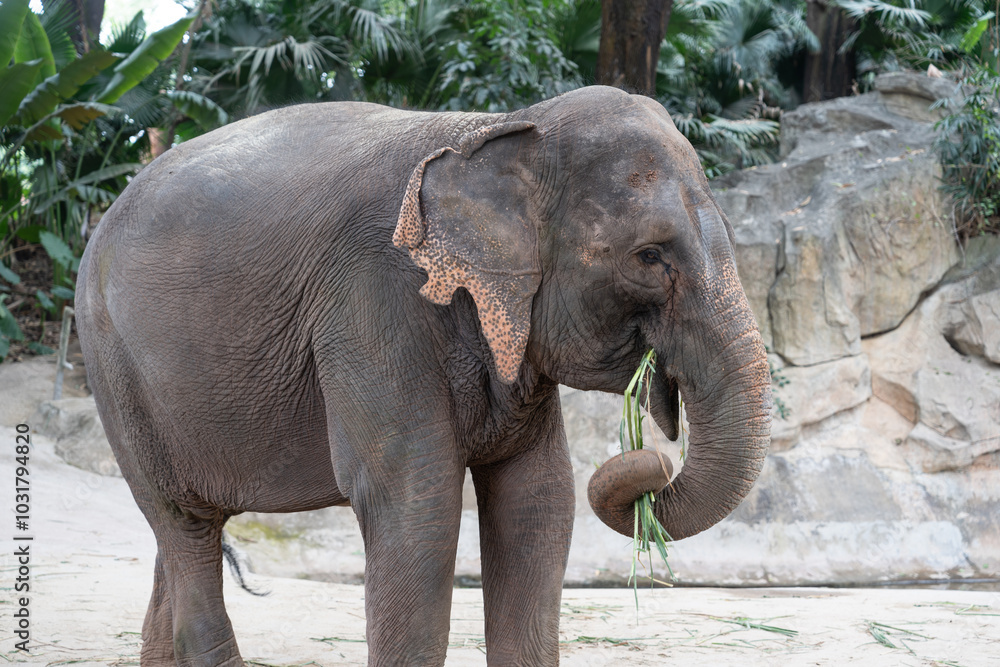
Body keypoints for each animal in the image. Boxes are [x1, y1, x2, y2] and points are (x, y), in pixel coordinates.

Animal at [76, 85, 771, 666]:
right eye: (649, 257)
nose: (653, 458)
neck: (503, 125)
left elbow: (538, 497)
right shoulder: (370, 301)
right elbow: (417, 503)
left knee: (180, 535)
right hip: (113, 365)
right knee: (182, 521)